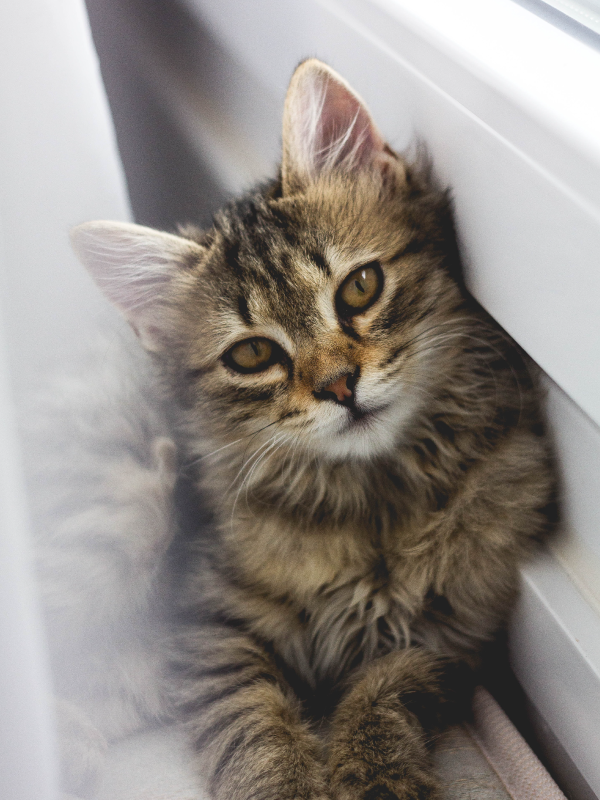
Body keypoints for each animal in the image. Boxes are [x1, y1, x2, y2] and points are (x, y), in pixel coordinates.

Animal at [35, 57, 556, 800]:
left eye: (361, 288)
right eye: (253, 355)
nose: (340, 385)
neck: (374, 500)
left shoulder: (445, 633)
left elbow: (384, 698)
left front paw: (378, 774)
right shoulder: (210, 622)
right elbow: (250, 723)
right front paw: (284, 781)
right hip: (123, 512)